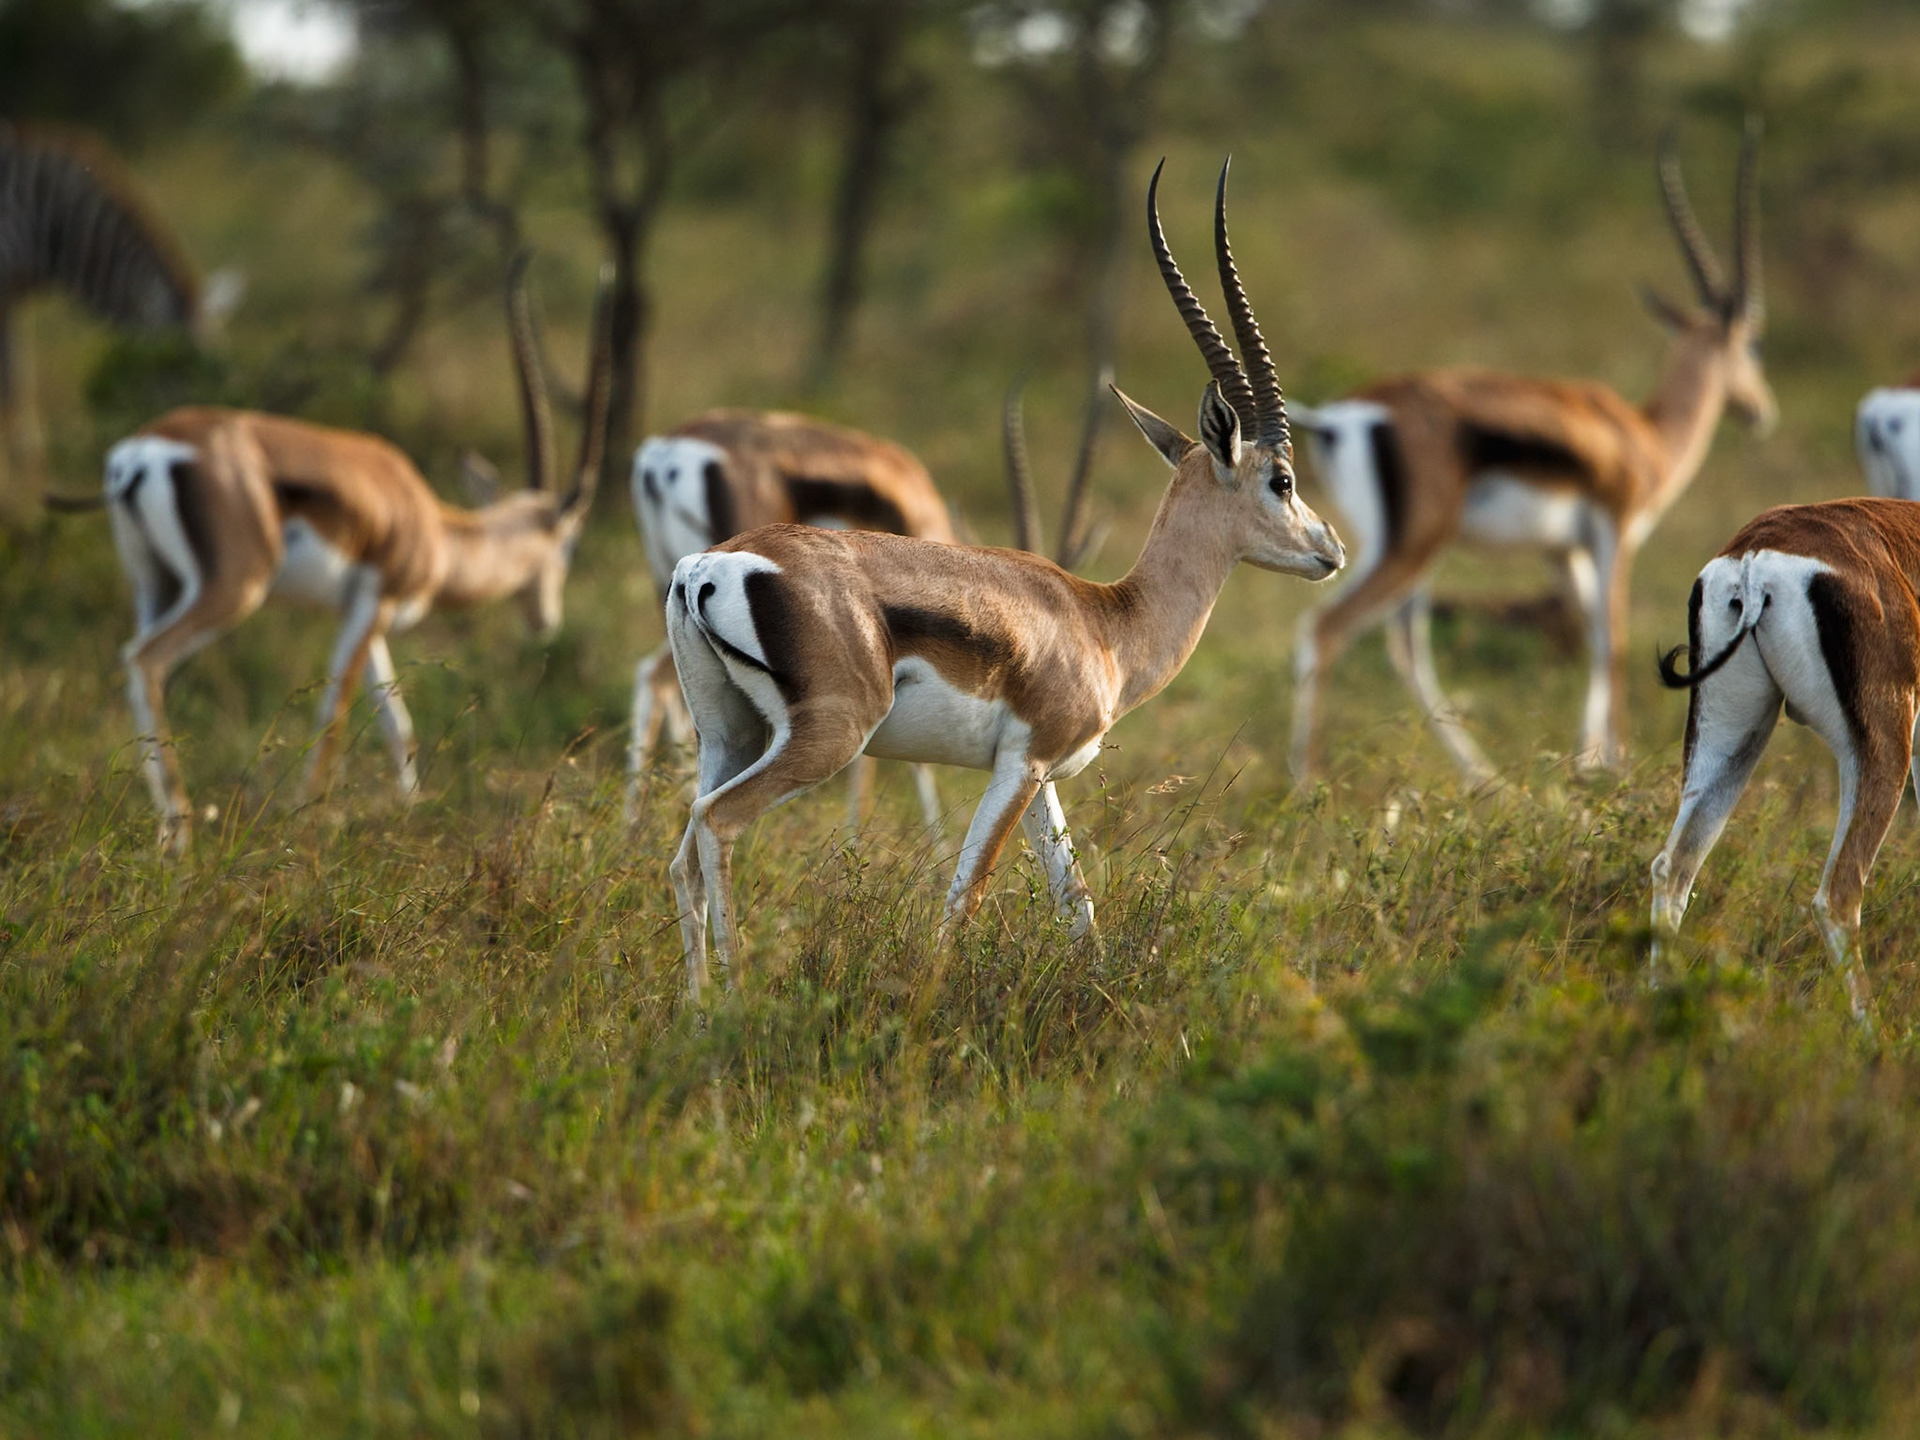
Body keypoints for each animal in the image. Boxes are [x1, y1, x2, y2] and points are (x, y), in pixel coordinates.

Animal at [77, 255, 612, 854]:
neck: (432, 528)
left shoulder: (363, 615)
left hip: (154, 585)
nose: (546, 620)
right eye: (568, 545)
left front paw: (410, 809)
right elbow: (334, 713)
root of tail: (142, 453)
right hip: (234, 589)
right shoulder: (374, 603)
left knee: (143, 672)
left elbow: (396, 720)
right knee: (145, 660)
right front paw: (307, 819)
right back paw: (181, 835)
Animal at [663, 159, 1345, 1001]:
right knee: (717, 823)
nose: (1330, 550)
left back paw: (694, 1010)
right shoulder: (1022, 764)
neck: (1106, 623)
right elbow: (965, 896)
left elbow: (1076, 901)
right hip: (827, 738)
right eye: (1282, 479)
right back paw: (732, 1002)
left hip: (730, 730)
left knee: (684, 849)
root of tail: (708, 567)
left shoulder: (1040, 774)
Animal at [1291, 121, 1774, 785]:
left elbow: (1592, 638)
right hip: (1412, 546)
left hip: (1411, 552)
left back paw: (1484, 779)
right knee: (1325, 631)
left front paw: (1589, 763)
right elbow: (1616, 640)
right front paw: (1617, 767)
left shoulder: (1560, 551)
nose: (1760, 411)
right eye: (1752, 343)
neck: (1642, 435)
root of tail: (1343, 415)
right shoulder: (1615, 530)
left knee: (1405, 651)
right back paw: (1308, 785)